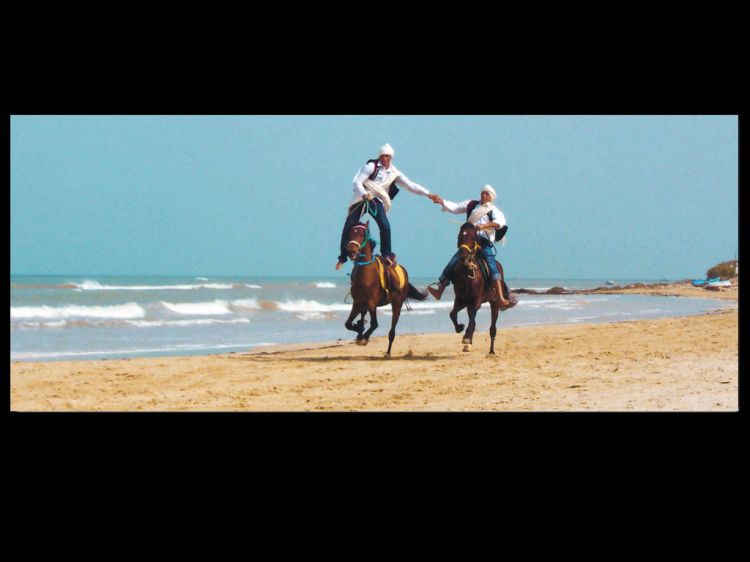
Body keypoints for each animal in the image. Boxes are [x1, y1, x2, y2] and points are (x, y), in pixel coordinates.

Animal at [346, 219, 428, 354]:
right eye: (351, 233)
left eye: (362, 234)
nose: (351, 251)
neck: (365, 273)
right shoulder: (357, 303)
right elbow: (348, 324)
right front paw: (359, 330)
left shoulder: (372, 302)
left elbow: (374, 324)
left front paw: (363, 338)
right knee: (363, 316)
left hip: (397, 304)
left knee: (392, 331)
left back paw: (388, 352)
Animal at [446, 221, 516, 352]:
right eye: (459, 236)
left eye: (473, 237)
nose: (463, 257)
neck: (467, 274)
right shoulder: (461, 299)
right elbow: (453, 314)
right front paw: (460, 328)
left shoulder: (476, 300)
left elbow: (472, 319)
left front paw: (466, 337)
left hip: (495, 303)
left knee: (492, 328)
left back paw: (491, 351)